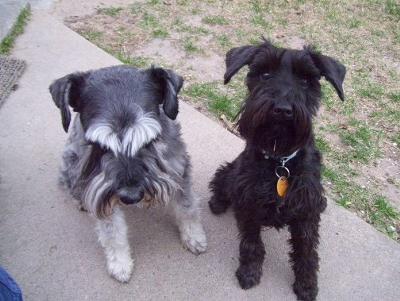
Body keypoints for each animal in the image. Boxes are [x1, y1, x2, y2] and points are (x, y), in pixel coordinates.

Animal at [48, 65, 208, 282]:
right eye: (99, 146)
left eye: (151, 140)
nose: (131, 197)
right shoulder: (100, 191)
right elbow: (112, 231)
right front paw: (120, 263)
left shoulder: (179, 169)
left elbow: (187, 206)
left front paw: (194, 236)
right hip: (71, 165)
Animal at [209, 40, 344, 300]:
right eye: (264, 74)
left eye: (305, 79)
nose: (282, 110)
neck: (281, 162)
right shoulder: (249, 205)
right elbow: (252, 244)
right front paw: (249, 272)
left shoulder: (306, 213)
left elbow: (306, 252)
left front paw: (307, 285)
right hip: (232, 173)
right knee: (221, 179)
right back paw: (217, 202)